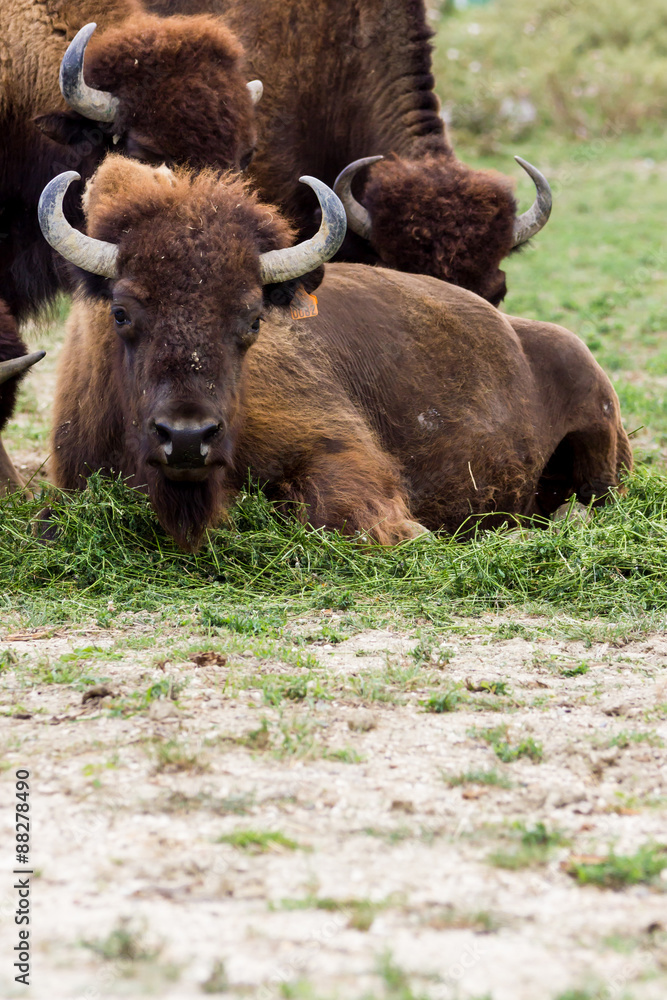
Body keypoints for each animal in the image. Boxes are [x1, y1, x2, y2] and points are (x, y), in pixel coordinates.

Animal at [39, 157, 628, 552]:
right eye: (120, 312)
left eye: (253, 318)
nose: (187, 438)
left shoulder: (339, 449)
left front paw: (418, 534)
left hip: (602, 451)